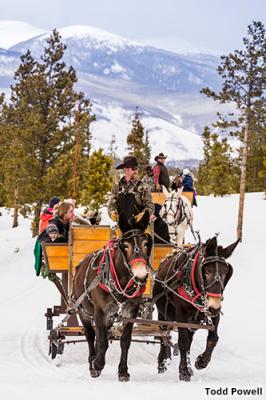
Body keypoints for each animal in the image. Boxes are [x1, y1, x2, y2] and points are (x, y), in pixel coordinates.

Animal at [72, 211, 152, 380]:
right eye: (125, 245)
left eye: (146, 243)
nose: (141, 275)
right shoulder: (100, 311)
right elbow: (102, 340)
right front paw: (97, 364)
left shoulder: (131, 311)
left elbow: (125, 341)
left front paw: (123, 371)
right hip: (83, 310)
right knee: (90, 335)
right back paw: (92, 361)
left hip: (109, 317)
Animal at [154, 238, 239, 382]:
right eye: (206, 271)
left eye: (225, 272)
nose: (213, 306)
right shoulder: (181, 314)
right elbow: (183, 342)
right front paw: (183, 372)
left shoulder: (214, 313)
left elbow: (213, 339)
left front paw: (201, 362)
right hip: (163, 313)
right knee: (163, 335)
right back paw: (162, 362)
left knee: (188, 339)